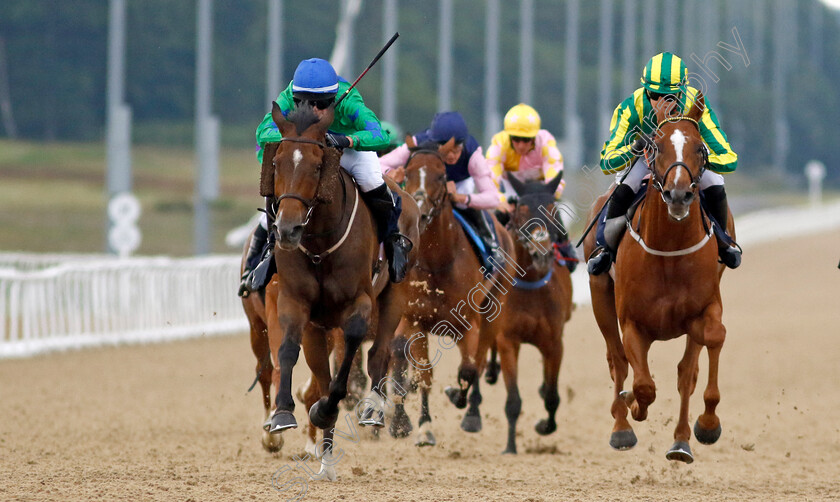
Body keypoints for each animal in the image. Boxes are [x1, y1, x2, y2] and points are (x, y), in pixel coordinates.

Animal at [262, 102, 420, 478]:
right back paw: (326, 460)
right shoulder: (296, 303)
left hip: (395, 293)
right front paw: (283, 414)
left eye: (318, 164)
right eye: (276, 162)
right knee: (321, 372)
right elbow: (289, 351)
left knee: (380, 352)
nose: (287, 229)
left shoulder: (358, 304)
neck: (321, 243)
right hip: (319, 326)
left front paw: (327, 409)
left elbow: (348, 362)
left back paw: (372, 409)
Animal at [388, 138, 520, 448]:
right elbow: (423, 372)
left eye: (441, 175)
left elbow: (469, 369)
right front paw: (423, 426)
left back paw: (471, 411)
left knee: (480, 359)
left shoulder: (468, 323)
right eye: (408, 173)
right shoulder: (416, 320)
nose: (421, 212)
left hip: (493, 309)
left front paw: (459, 400)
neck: (437, 262)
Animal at [480, 174, 576, 454]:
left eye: (553, 209)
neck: (531, 284)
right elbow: (513, 400)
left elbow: (553, 396)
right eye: (521, 210)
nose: (541, 253)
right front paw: (510, 447)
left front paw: (544, 425)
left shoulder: (554, 342)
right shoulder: (508, 340)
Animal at [584, 93, 736, 462]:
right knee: (618, 362)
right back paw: (621, 427)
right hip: (599, 295)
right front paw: (630, 407)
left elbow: (711, 342)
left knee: (686, 372)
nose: (678, 194)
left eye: (699, 146)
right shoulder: (632, 322)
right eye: (655, 145)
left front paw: (707, 424)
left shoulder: (705, 308)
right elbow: (642, 385)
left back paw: (681, 442)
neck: (668, 251)